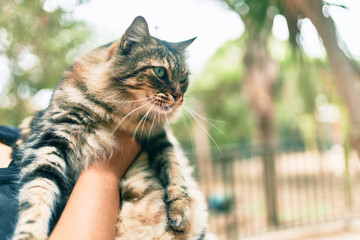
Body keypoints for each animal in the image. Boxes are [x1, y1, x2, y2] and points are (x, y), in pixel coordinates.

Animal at [11, 16, 214, 240]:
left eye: (184, 78)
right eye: (160, 71)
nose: (179, 97)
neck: (123, 114)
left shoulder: (159, 139)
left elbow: (176, 173)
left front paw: (180, 213)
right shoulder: (50, 140)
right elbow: (37, 193)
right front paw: (29, 233)